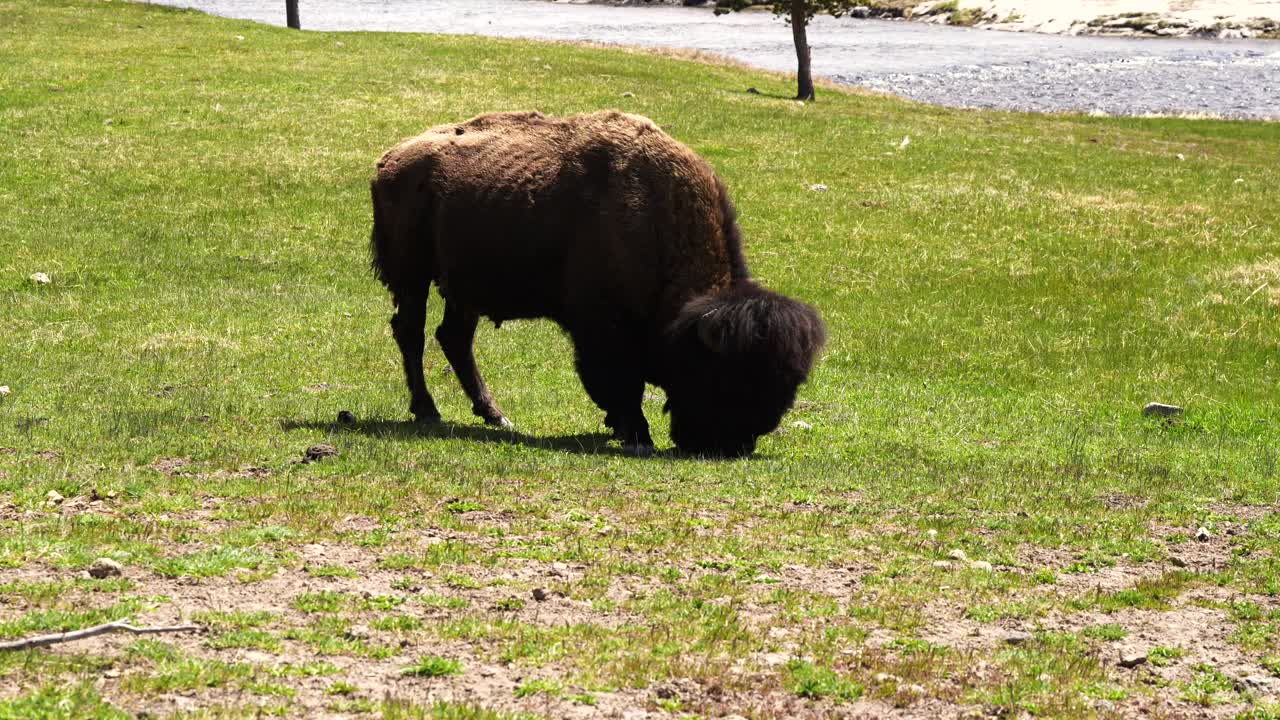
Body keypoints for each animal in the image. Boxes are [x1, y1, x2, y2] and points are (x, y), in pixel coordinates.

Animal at [371, 109, 824, 456]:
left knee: (454, 338)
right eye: (724, 376)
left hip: (462, 287)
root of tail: (390, 160)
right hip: (413, 275)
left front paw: (621, 427)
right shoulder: (603, 328)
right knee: (411, 332)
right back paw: (428, 410)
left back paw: (495, 414)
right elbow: (622, 382)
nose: (731, 446)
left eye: (788, 386)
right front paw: (636, 433)